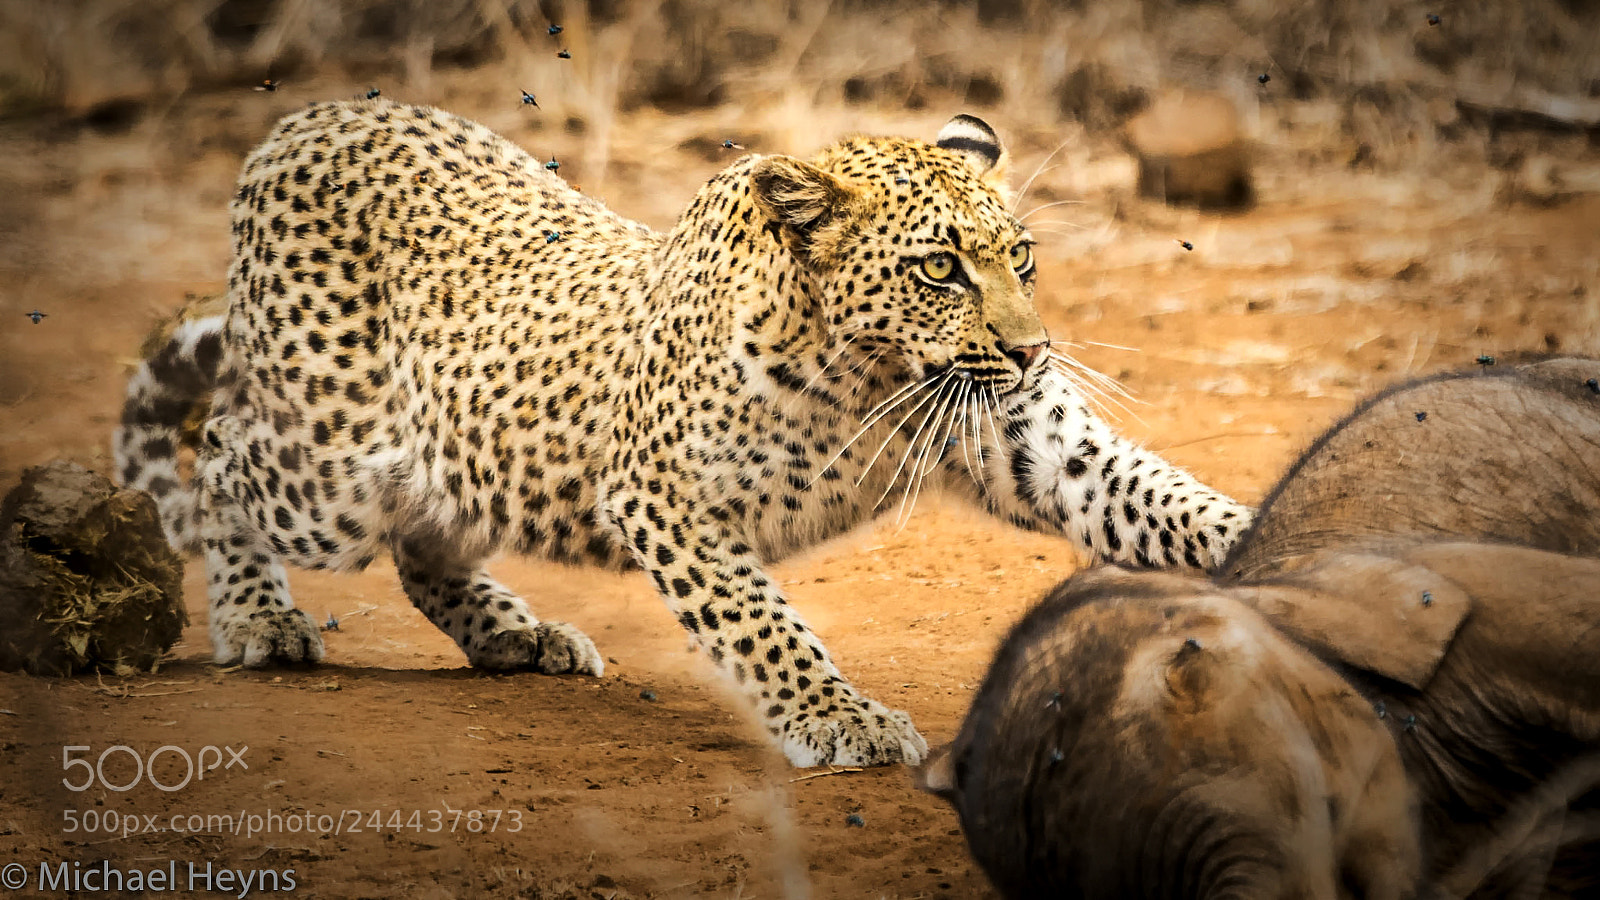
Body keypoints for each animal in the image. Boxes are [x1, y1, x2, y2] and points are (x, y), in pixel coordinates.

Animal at [114, 99, 1251, 767]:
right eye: (939, 268)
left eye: (1020, 257)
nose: (1032, 350)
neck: (868, 374)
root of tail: (306, 116)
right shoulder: (664, 496)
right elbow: (761, 623)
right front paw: (839, 720)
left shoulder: (1034, 444)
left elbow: (1163, 500)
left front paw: (1277, 544)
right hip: (330, 466)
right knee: (223, 453)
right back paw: (258, 619)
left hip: (446, 457)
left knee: (424, 541)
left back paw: (516, 634)